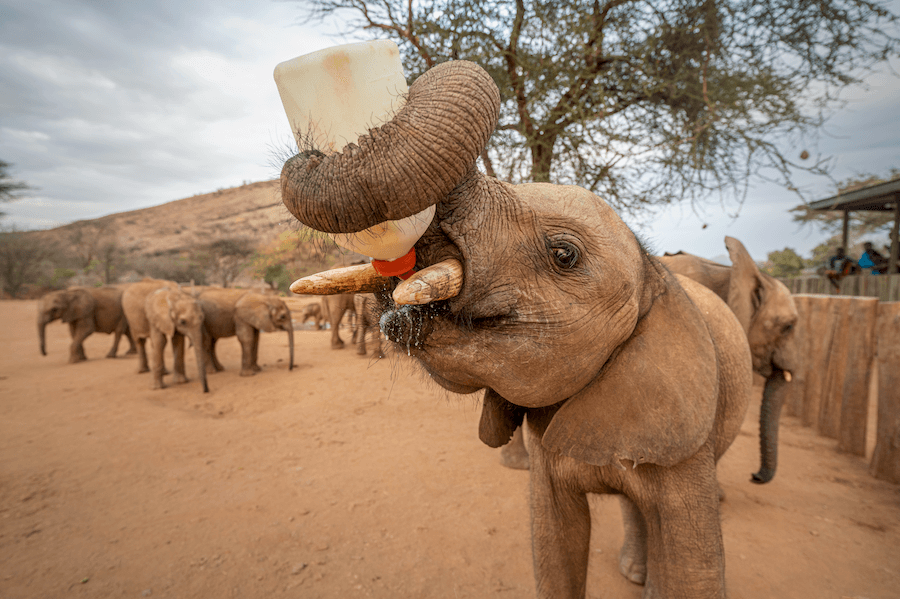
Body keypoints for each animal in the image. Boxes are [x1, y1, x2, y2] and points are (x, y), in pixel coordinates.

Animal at [279, 60, 753, 599]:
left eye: (564, 254)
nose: (314, 149)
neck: (655, 275)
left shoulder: (681, 437)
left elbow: (693, 566)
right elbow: (553, 544)